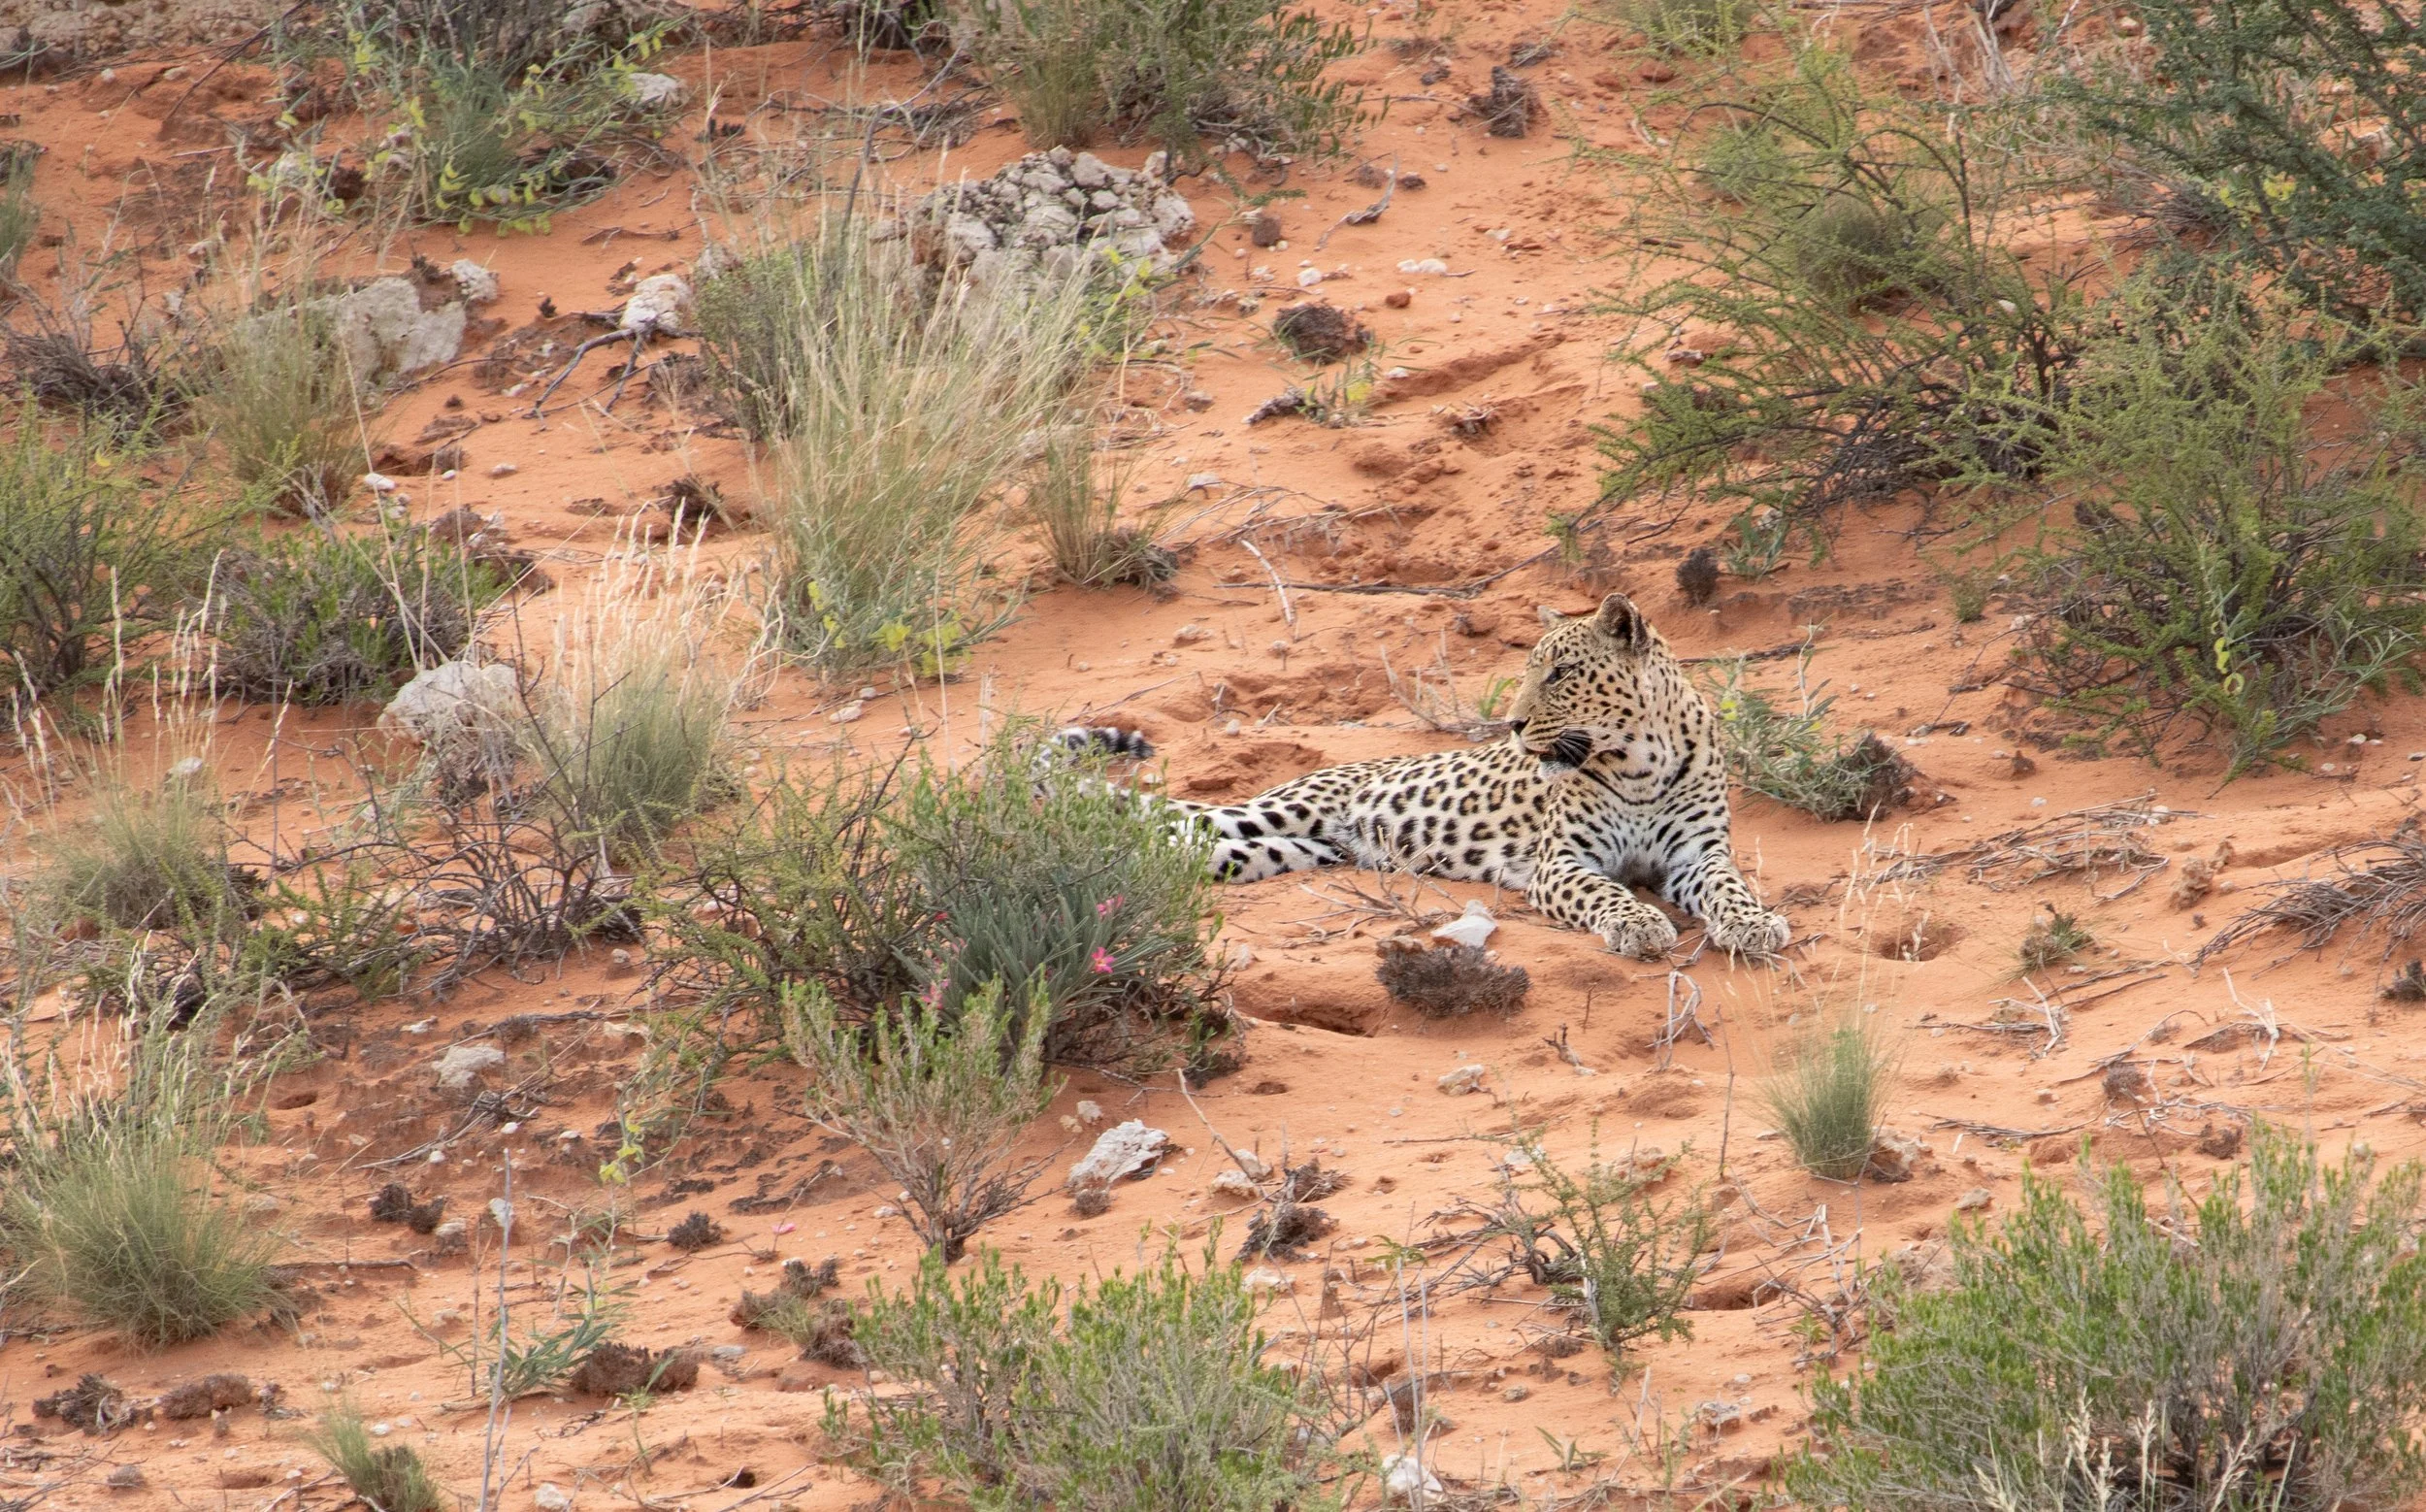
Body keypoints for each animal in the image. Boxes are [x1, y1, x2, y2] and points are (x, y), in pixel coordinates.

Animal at [1064, 591, 1791, 959]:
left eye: (1560, 674)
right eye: (1531, 670)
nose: (1513, 725)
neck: (1641, 762)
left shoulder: (1698, 856)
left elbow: (1730, 889)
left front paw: (1753, 924)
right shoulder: (1564, 861)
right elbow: (1608, 893)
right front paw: (1638, 924)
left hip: (1283, 851)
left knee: (1183, 848)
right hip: (1270, 813)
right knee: (1159, 830)